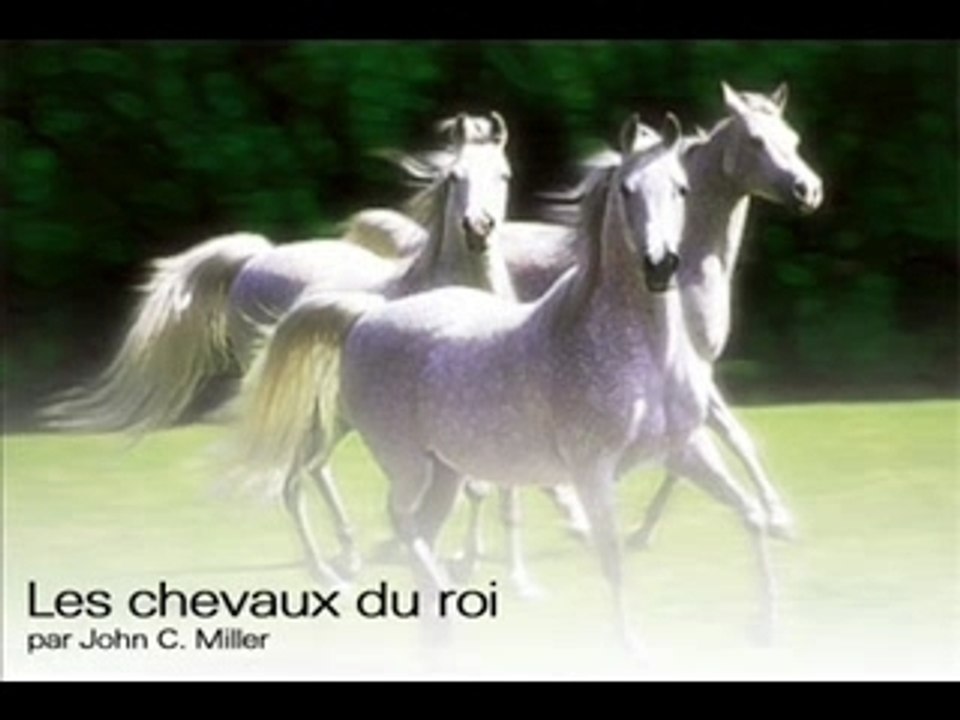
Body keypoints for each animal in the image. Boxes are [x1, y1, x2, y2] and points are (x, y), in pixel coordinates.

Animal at [44, 112, 518, 587]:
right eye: (455, 177)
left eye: (503, 175)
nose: (478, 229)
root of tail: (254, 259)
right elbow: (471, 487)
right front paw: (468, 565)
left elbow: (485, 486)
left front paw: (481, 565)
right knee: (296, 480)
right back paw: (325, 568)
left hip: (330, 412)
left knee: (314, 469)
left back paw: (348, 553)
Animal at [237, 113, 777, 653]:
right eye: (627, 190)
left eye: (682, 189)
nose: (660, 264)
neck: (638, 354)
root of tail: (368, 314)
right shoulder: (592, 471)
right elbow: (612, 559)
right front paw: (632, 650)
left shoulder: (685, 450)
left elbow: (749, 514)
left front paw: (767, 625)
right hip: (406, 463)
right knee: (392, 517)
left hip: (444, 471)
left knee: (417, 528)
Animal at [343, 82, 824, 552]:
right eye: (756, 140)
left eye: (795, 138)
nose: (809, 190)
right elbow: (732, 440)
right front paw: (774, 519)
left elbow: (710, 447)